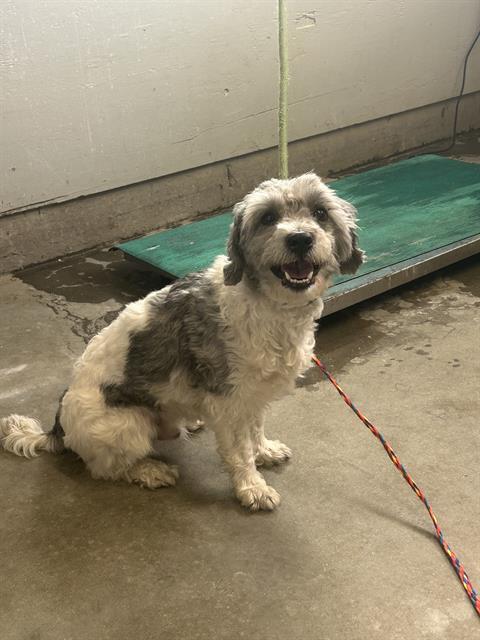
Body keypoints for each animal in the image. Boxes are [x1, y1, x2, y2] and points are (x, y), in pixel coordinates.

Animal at [0, 171, 364, 510]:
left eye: (320, 212)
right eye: (268, 218)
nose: (300, 239)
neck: (267, 304)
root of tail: (57, 428)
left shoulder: (253, 394)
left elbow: (256, 428)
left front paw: (264, 451)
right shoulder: (229, 398)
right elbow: (240, 450)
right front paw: (252, 488)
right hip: (128, 424)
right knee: (106, 468)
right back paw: (149, 470)